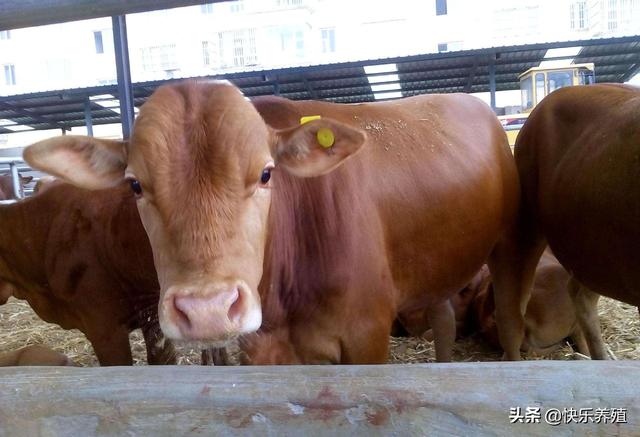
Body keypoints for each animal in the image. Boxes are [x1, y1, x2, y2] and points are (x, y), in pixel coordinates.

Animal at [23, 80, 520, 362]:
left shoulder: (367, 338)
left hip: (509, 244)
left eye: (266, 173)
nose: (207, 310)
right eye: (135, 185)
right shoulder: (261, 348)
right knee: (444, 318)